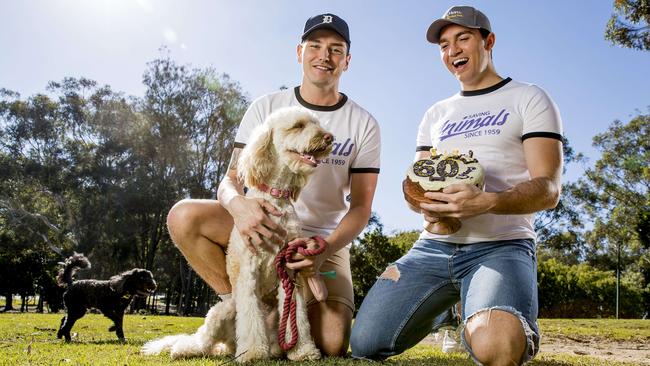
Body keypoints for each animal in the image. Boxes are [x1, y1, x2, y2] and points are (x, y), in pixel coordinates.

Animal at [142, 106, 334, 364]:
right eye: (298, 126)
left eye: (317, 123)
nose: (329, 138)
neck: (276, 198)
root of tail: (229, 345)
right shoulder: (248, 273)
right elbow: (251, 320)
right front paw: (253, 353)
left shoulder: (289, 273)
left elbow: (298, 318)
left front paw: (302, 350)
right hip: (223, 310)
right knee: (203, 341)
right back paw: (185, 349)